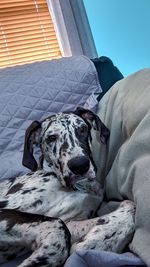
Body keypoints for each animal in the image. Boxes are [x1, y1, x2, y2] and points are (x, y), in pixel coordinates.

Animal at [0, 108, 135, 266]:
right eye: (51, 138)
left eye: (82, 129)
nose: (80, 165)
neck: (78, 187)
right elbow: (57, 226)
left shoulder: (71, 221)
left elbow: (130, 205)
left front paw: (101, 241)